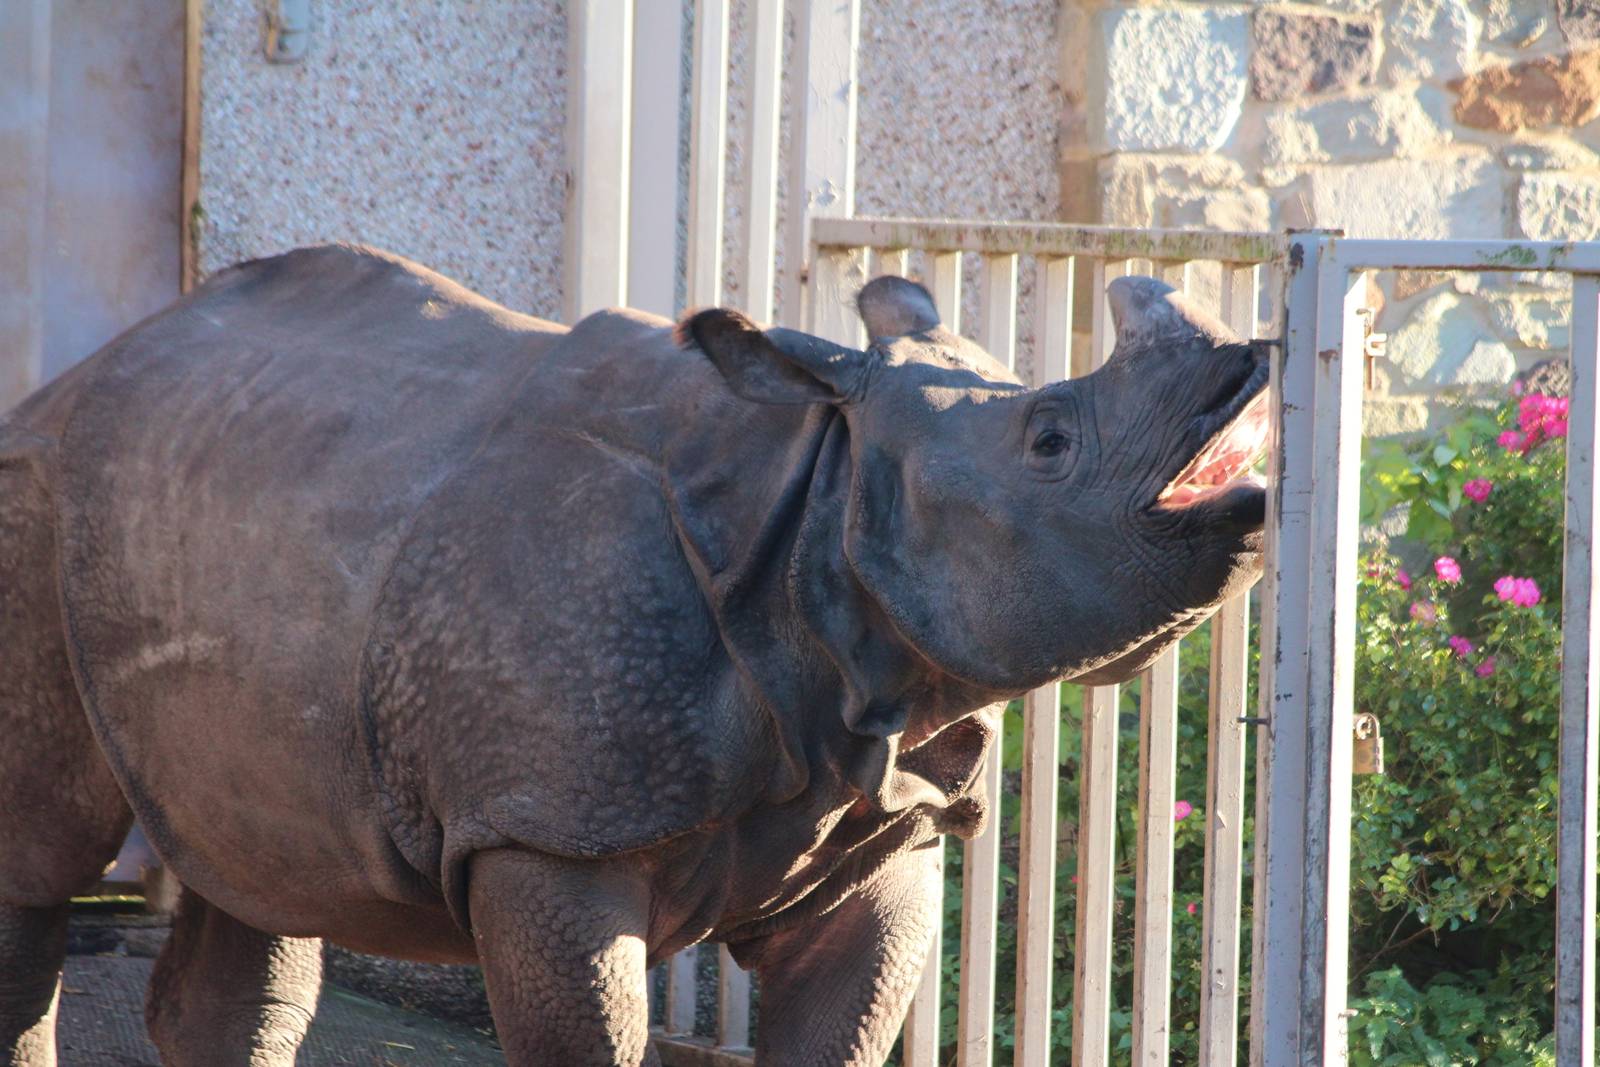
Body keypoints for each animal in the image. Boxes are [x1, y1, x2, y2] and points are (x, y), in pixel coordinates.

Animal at [0, 245, 1267, 1067]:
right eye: (1048, 441)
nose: (1244, 374)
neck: (817, 499)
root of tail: (85, 366)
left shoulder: (889, 819)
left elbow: (844, 1022)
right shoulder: (544, 827)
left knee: (253, 864)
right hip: (39, 484)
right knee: (43, 850)